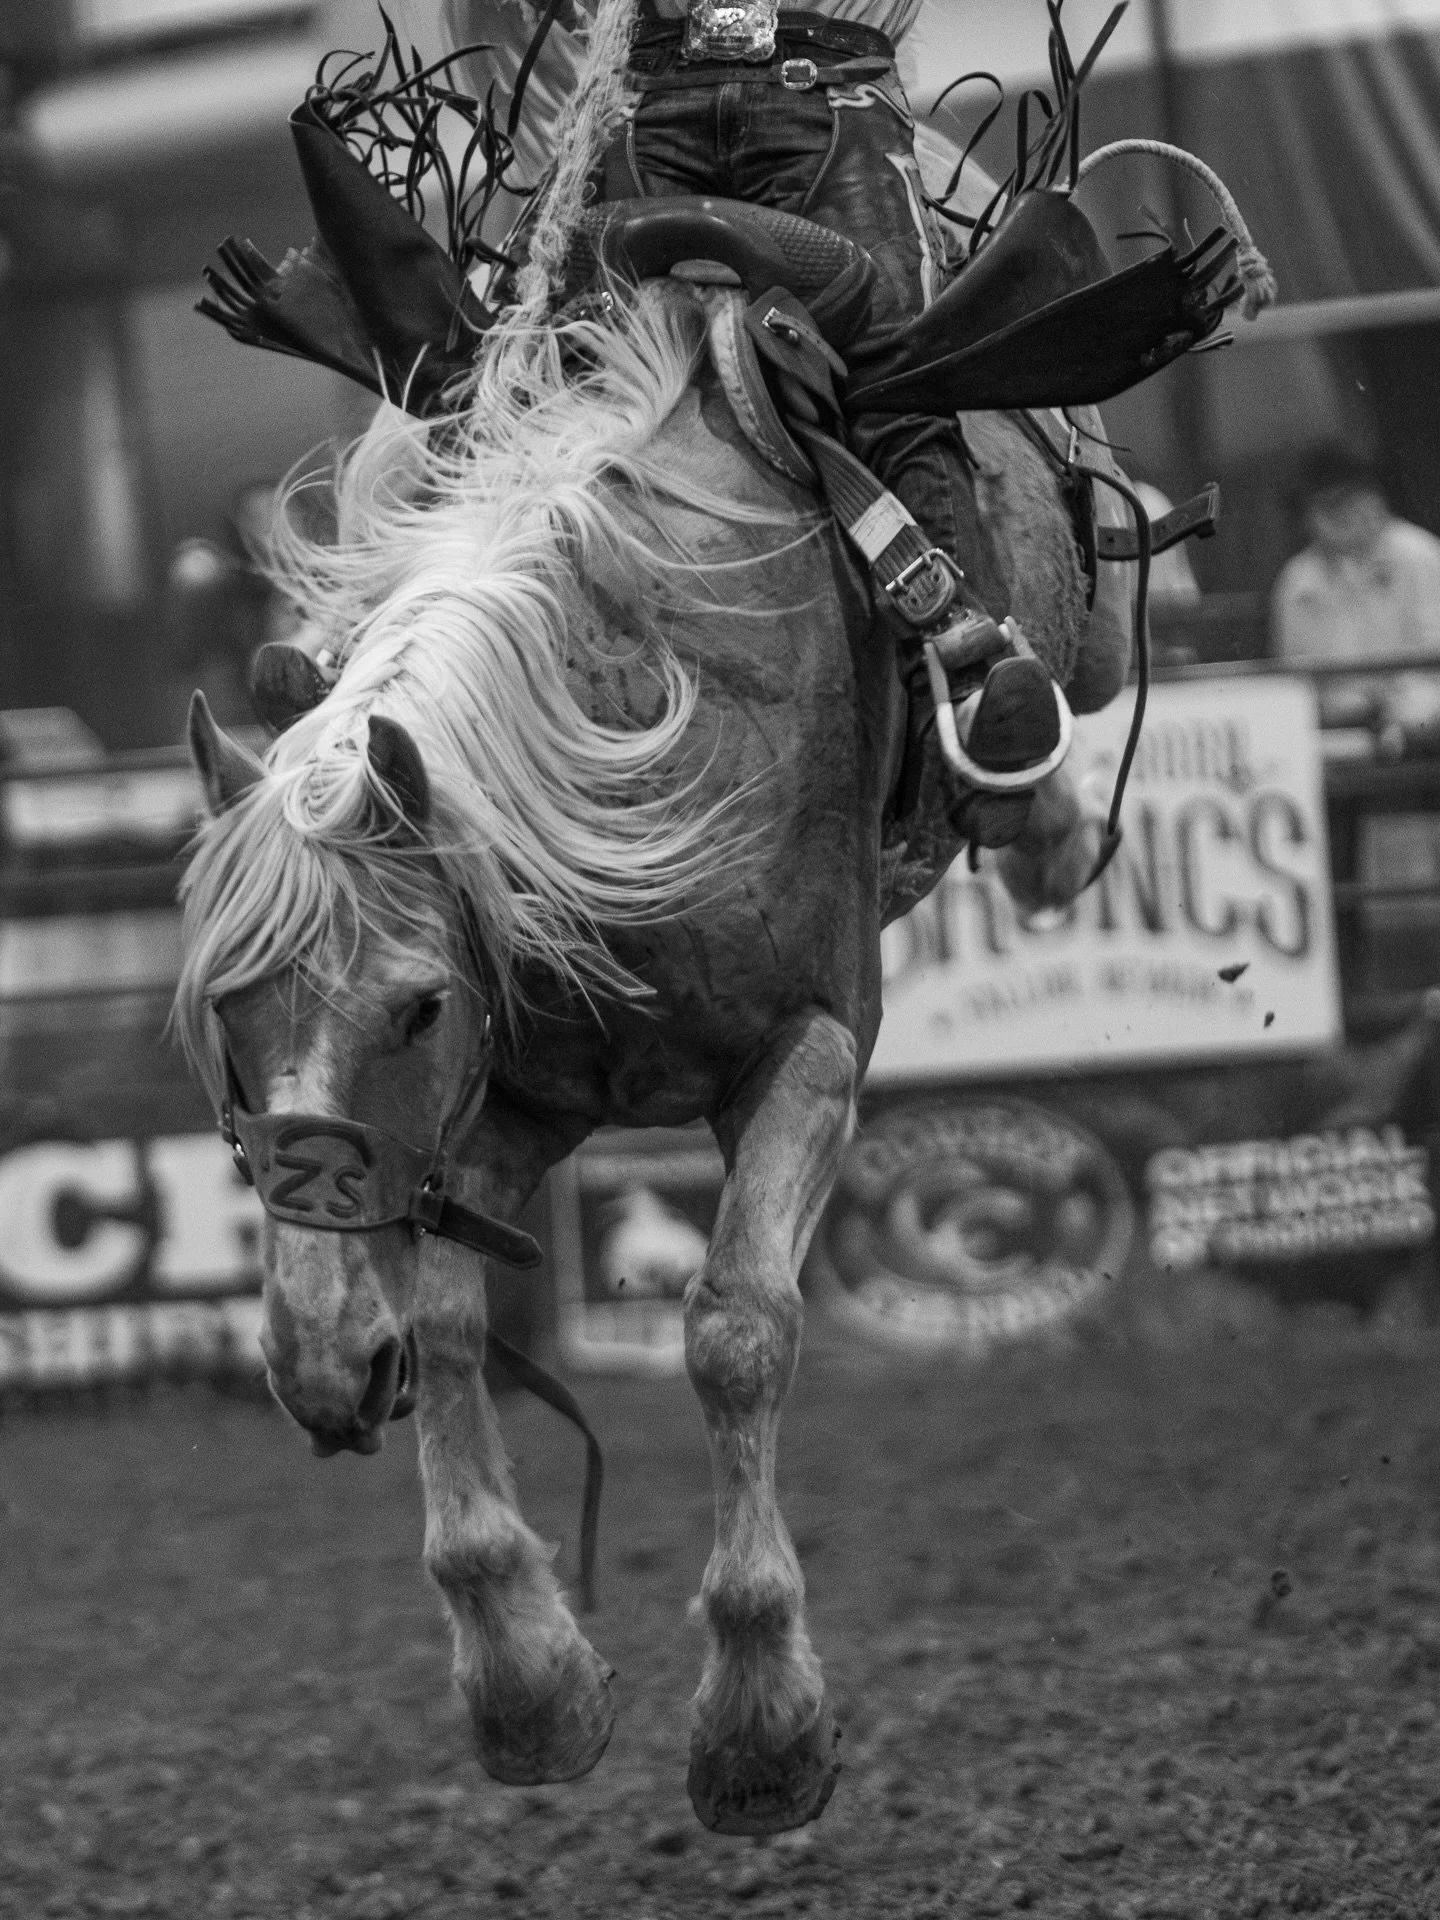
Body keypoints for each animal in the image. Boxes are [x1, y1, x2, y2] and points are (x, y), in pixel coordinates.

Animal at [175, 278, 1115, 1836]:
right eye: (228, 1027)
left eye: (415, 1007)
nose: (317, 1363)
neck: (626, 744)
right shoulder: (499, 1113)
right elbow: (449, 1328)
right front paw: (528, 1683)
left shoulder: (813, 1051)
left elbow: (737, 1330)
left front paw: (760, 1722)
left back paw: (1042, 797)